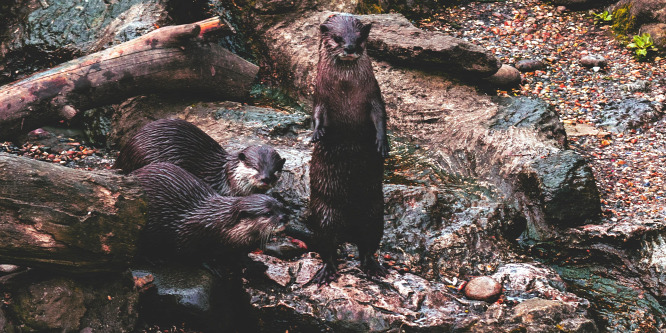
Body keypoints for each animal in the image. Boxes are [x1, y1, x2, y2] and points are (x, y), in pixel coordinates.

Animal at [306, 14, 390, 284]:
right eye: (338, 38)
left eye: (360, 37)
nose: (351, 47)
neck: (345, 88)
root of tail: (348, 232)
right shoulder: (319, 95)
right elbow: (317, 114)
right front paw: (317, 134)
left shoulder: (374, 94)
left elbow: (380, 116)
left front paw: (382, 143)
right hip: (324, 215)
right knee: (327, 247)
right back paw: (326, 271)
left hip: (374, 215)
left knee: (368, 246)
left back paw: (373, 267)